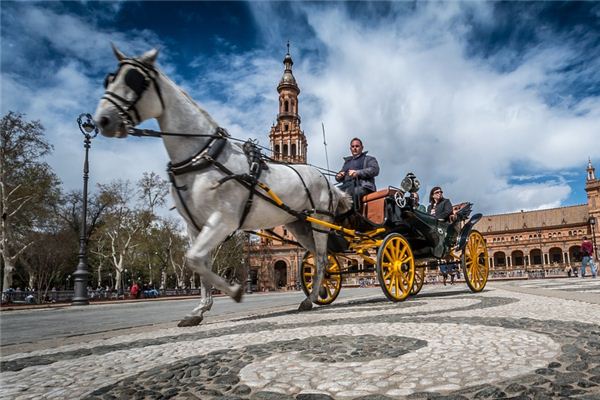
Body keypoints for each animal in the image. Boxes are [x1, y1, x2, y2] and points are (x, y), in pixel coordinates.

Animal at [91, 47, 350, 326]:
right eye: (109, 79)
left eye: (134, 80)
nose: (102, 120)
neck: (203, 156)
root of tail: (325, 180)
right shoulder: (195, 226)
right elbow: (198, 262)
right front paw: (200, 309)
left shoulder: (223, 220)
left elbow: (195, 260)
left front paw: (234, 291)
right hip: (300, 225)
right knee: (319, 257)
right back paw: (319, 292)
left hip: (319, 222)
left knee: (321, 258)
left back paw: (310, 298)